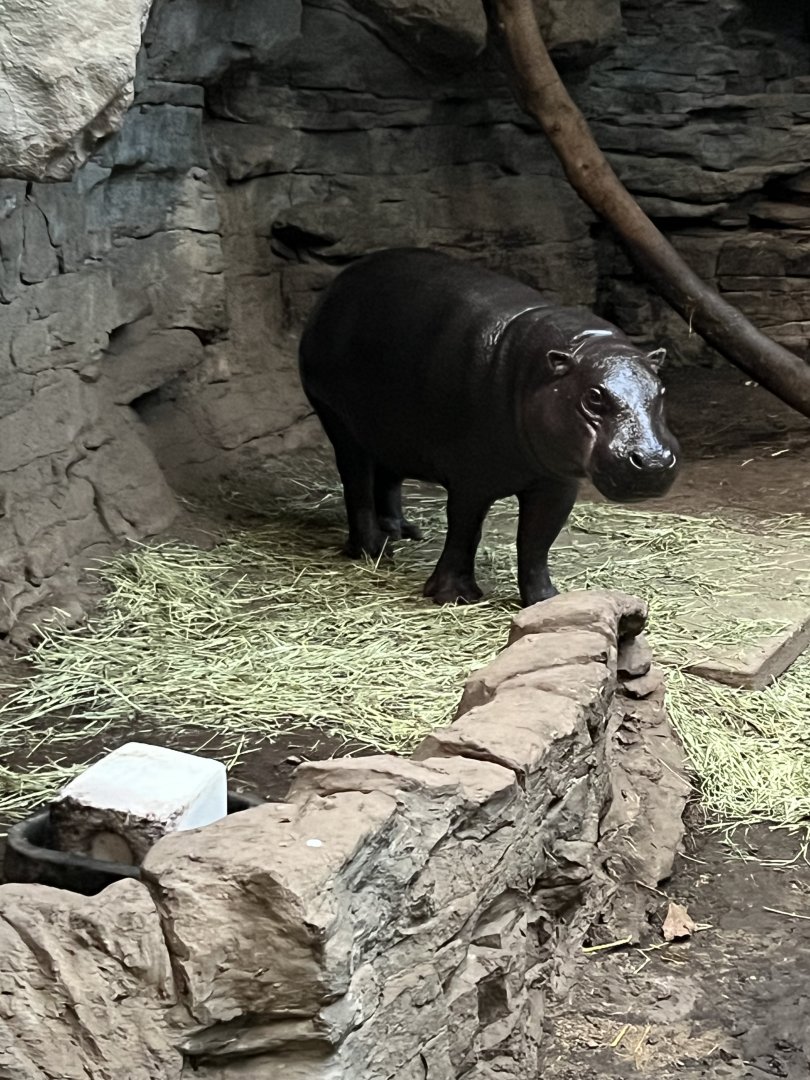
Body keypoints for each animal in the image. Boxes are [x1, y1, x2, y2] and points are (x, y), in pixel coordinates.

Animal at [299, 248, 680, 606]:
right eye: (594, 396)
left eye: (661, 389)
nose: (653, 461)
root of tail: (341, 281)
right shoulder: (471, 479)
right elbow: (465, 531)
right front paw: (453, 596)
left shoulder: (556, 483)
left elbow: (537, 541)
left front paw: (546, 600)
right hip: (339, 419)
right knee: (357, 483)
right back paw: (375, 550)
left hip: (390, 426)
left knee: (389, 475)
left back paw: (403, 532)